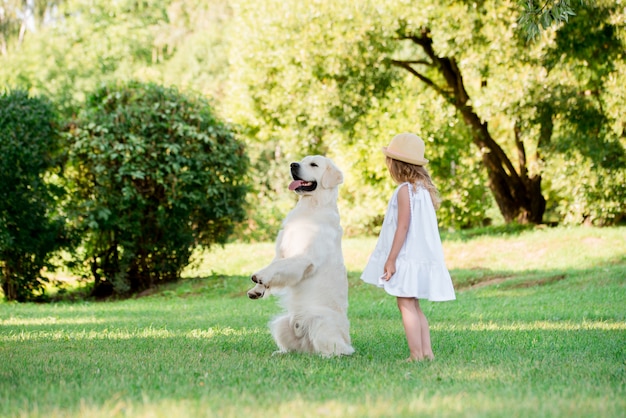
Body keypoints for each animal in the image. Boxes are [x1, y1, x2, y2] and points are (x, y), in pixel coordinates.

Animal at [249, 155, 356, 358]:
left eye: (314, 164)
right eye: (302, 160)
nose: (292, 165)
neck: (311, 207)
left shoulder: (305, 258)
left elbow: (277, 267)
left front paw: (260, 276)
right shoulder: (282, 252)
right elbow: (275, 266)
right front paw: (257, 289)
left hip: (321, 323)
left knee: (339, 350)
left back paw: (327, 356)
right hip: (281, 324)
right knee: (295, 348)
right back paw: (281, 353)